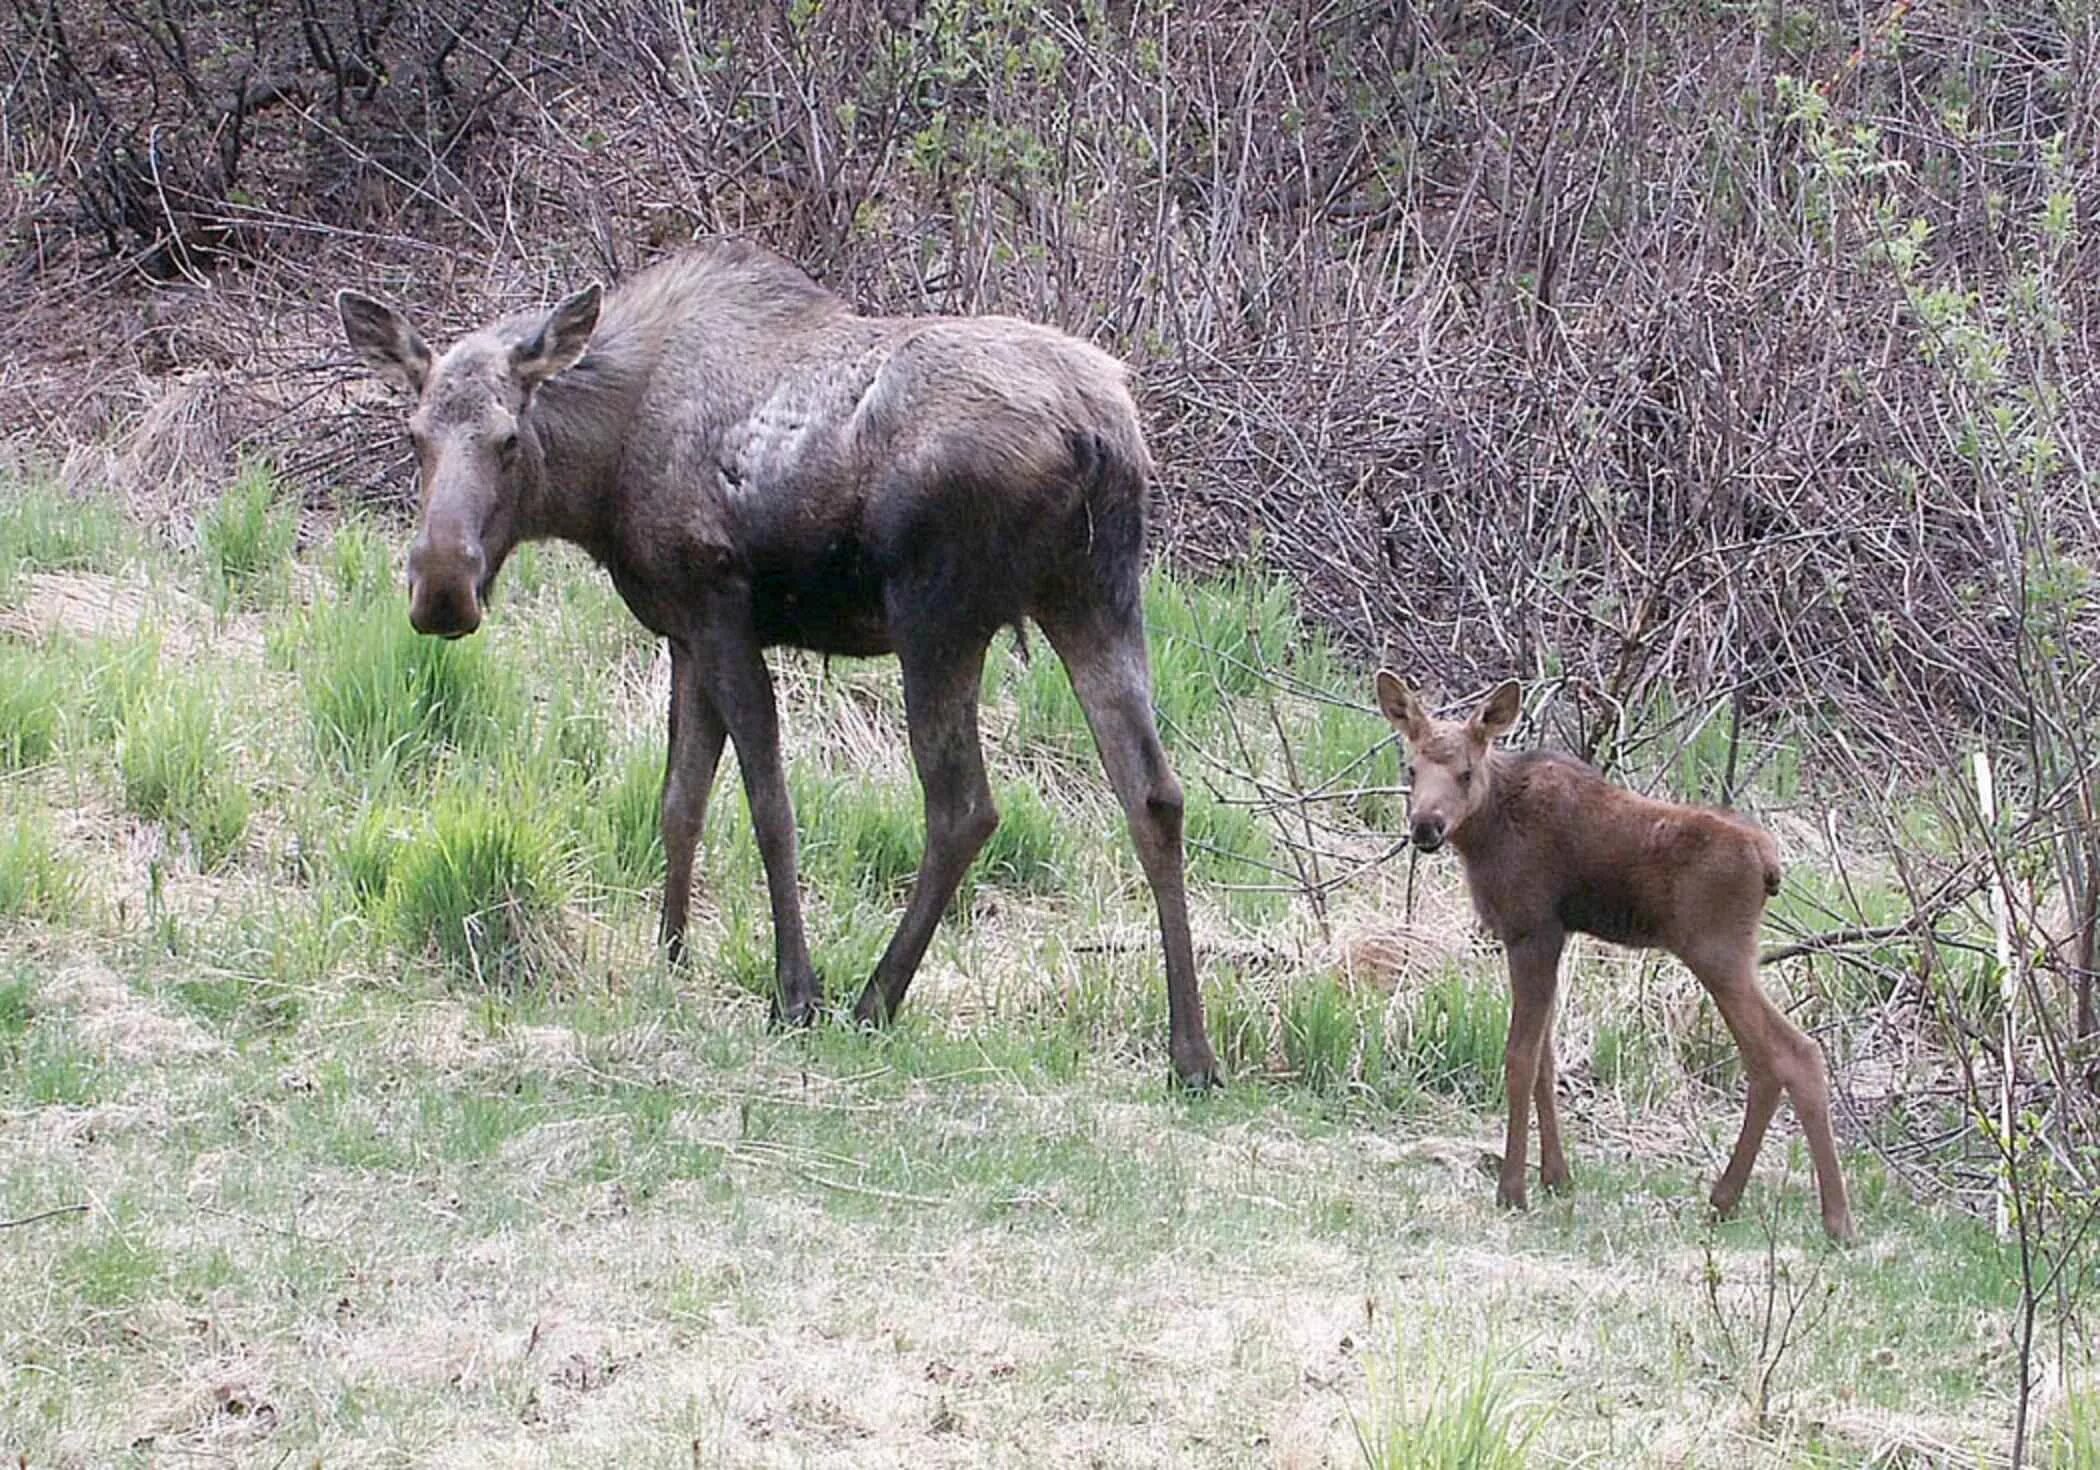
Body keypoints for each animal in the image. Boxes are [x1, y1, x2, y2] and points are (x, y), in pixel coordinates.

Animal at [338, 241, 1226, 1083]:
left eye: (510, 439)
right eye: (415, 436)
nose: (442, 588)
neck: (601, 476)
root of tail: (1096, 436)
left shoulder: (721, 610)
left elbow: (769, 807)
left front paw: (794, 990)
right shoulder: (684, 632)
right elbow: (680, 802)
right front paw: (670, 955)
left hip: (939, 618)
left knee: (964, 806)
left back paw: (872, 999)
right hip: (1098, 599)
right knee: (1155, 796)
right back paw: (1191, 1053)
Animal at [1377, 676, 1856, 1243]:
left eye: (1466, 772)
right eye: (1411, 768)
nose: (1425, 827)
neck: (1485, 831)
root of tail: (1770, 865)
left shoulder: (1531, 930)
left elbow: (1520, 1059)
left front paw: (1512, 1190)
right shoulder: (1552, 935)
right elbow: (1546, 1062)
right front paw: (1556, 1177)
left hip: (1718, 952)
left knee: (1793, 1053)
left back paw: (1834, 1219)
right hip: (1731, 956)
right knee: (1768, 1060)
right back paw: (1727, 1199)